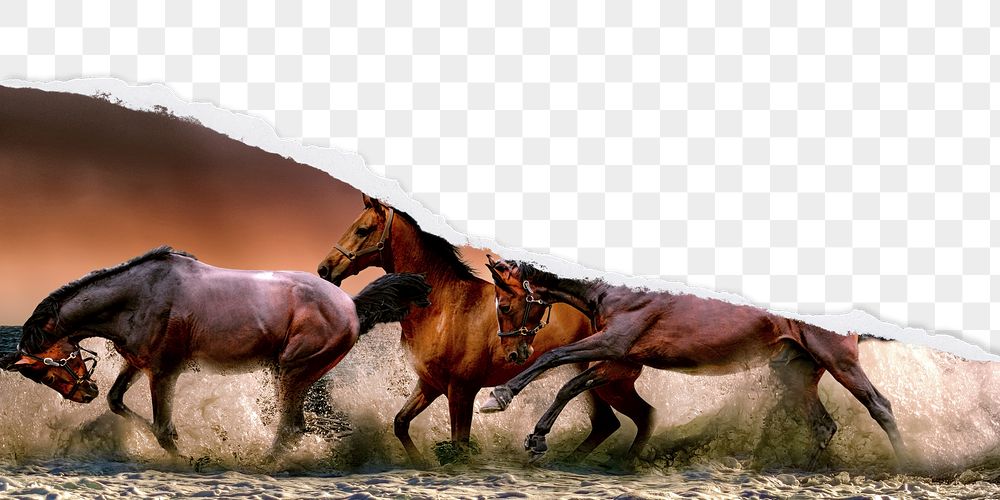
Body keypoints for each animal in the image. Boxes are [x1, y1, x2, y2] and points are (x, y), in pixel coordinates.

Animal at [2, 246, 432, 459]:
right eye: (39, 375)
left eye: (48, 367)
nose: (82, 393)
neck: (138, 296)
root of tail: (352, 306)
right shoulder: (137, 364)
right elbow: (117, 401)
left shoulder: (164, 372)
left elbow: (163, 430)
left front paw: (190, 459)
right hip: (292, 374)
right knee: (293, 427)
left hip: (293, 371)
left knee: (290, 428)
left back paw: (261, 466)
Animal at [317, 195, 655, 465]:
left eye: (362, 230)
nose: (324, 269)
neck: (444, 306)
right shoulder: (430, 385)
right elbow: (400, 423)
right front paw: (421, 463)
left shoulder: (461, 390)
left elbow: (459, 445)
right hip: (597, 382)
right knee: (611, 423)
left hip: (608, 381)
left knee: (636, 418)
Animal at [480, 258, 907, 468]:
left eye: (504, 306)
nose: (513, 354)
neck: (614, 290)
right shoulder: (620, 361)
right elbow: (570, 385)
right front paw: (537, 438)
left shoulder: (614, 344)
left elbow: (554, 359)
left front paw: (498, 397)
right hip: (796, 372)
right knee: (824, 425)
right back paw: (803, 470)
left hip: (837, 360)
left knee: (880, 407)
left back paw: (908, 465)